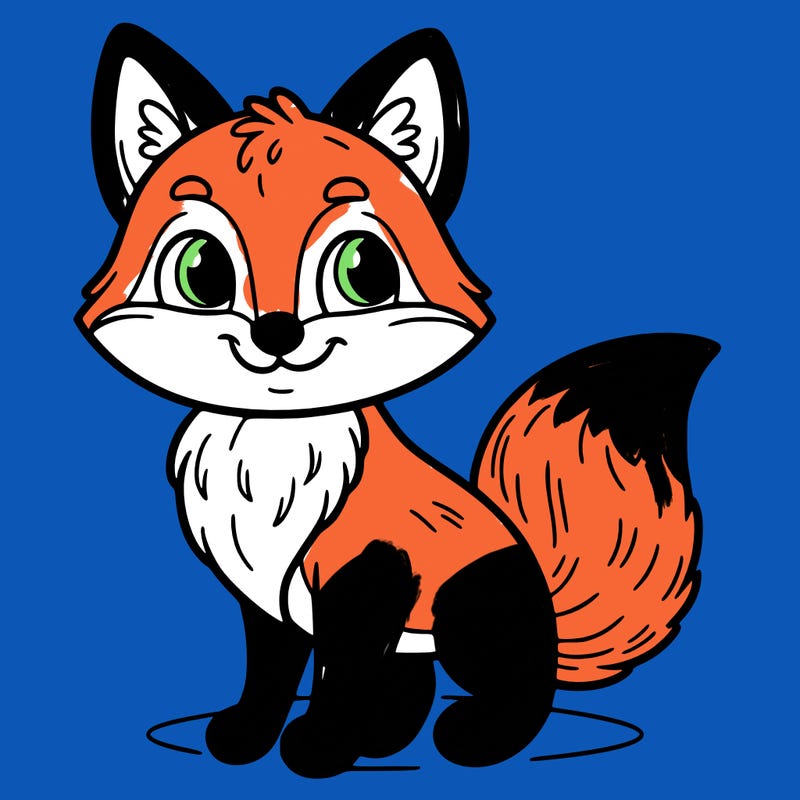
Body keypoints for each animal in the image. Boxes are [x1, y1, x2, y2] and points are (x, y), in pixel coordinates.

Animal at [77, 23, 718, 777]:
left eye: (364, 271)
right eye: (201, 271)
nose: (276, 333)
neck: (273, 446)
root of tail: (549, 603)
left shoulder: (369, 574)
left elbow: (338, 672)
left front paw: (320, 748)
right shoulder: (266, 595)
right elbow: (270, 672)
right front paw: (250, 737)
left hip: (471, 610)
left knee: (518, 688)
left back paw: (474, 737)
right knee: (411, 681)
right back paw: (384, 736)